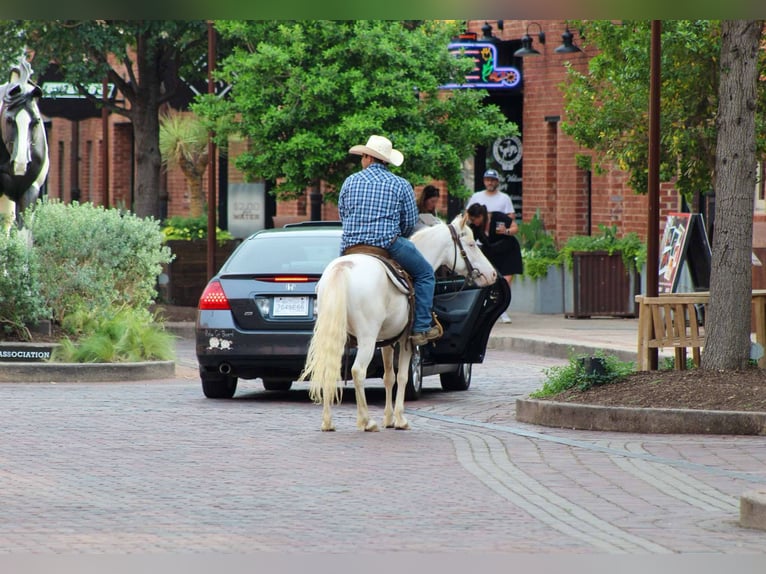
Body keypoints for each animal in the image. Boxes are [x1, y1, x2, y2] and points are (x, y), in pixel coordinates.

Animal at [298, 213, 498, 432]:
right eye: (471, 244)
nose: (493, 274)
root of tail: (343, 268)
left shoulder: (387, 340)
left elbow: (389, 377)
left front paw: (388, 418)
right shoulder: (407, 340)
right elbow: (402, 376)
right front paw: (400, 419)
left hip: (336, 334)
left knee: (328, 368)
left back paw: (328, 421)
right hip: (366, 338)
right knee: (358, 371)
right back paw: (367, 421)